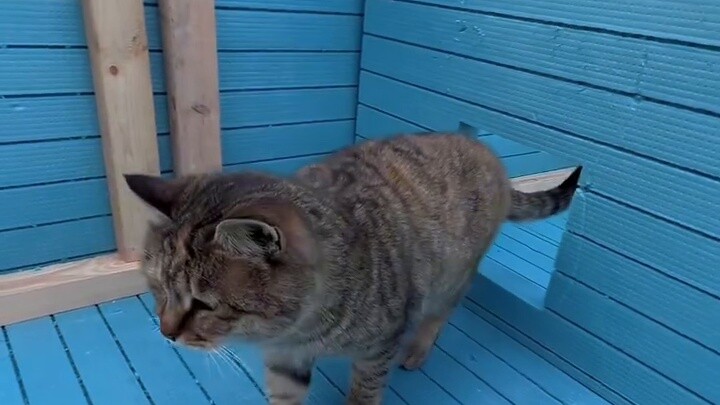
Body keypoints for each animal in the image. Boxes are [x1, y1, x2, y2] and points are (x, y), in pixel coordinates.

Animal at [124, 131, 584, 402]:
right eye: (158, 289)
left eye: (203, 304)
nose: (166, 333)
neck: (297, 328)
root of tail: (480, 145)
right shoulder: (284, 360)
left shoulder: (377, 349)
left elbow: (364, 394)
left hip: (451, 277)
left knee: (440, 313)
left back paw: (419, 348)